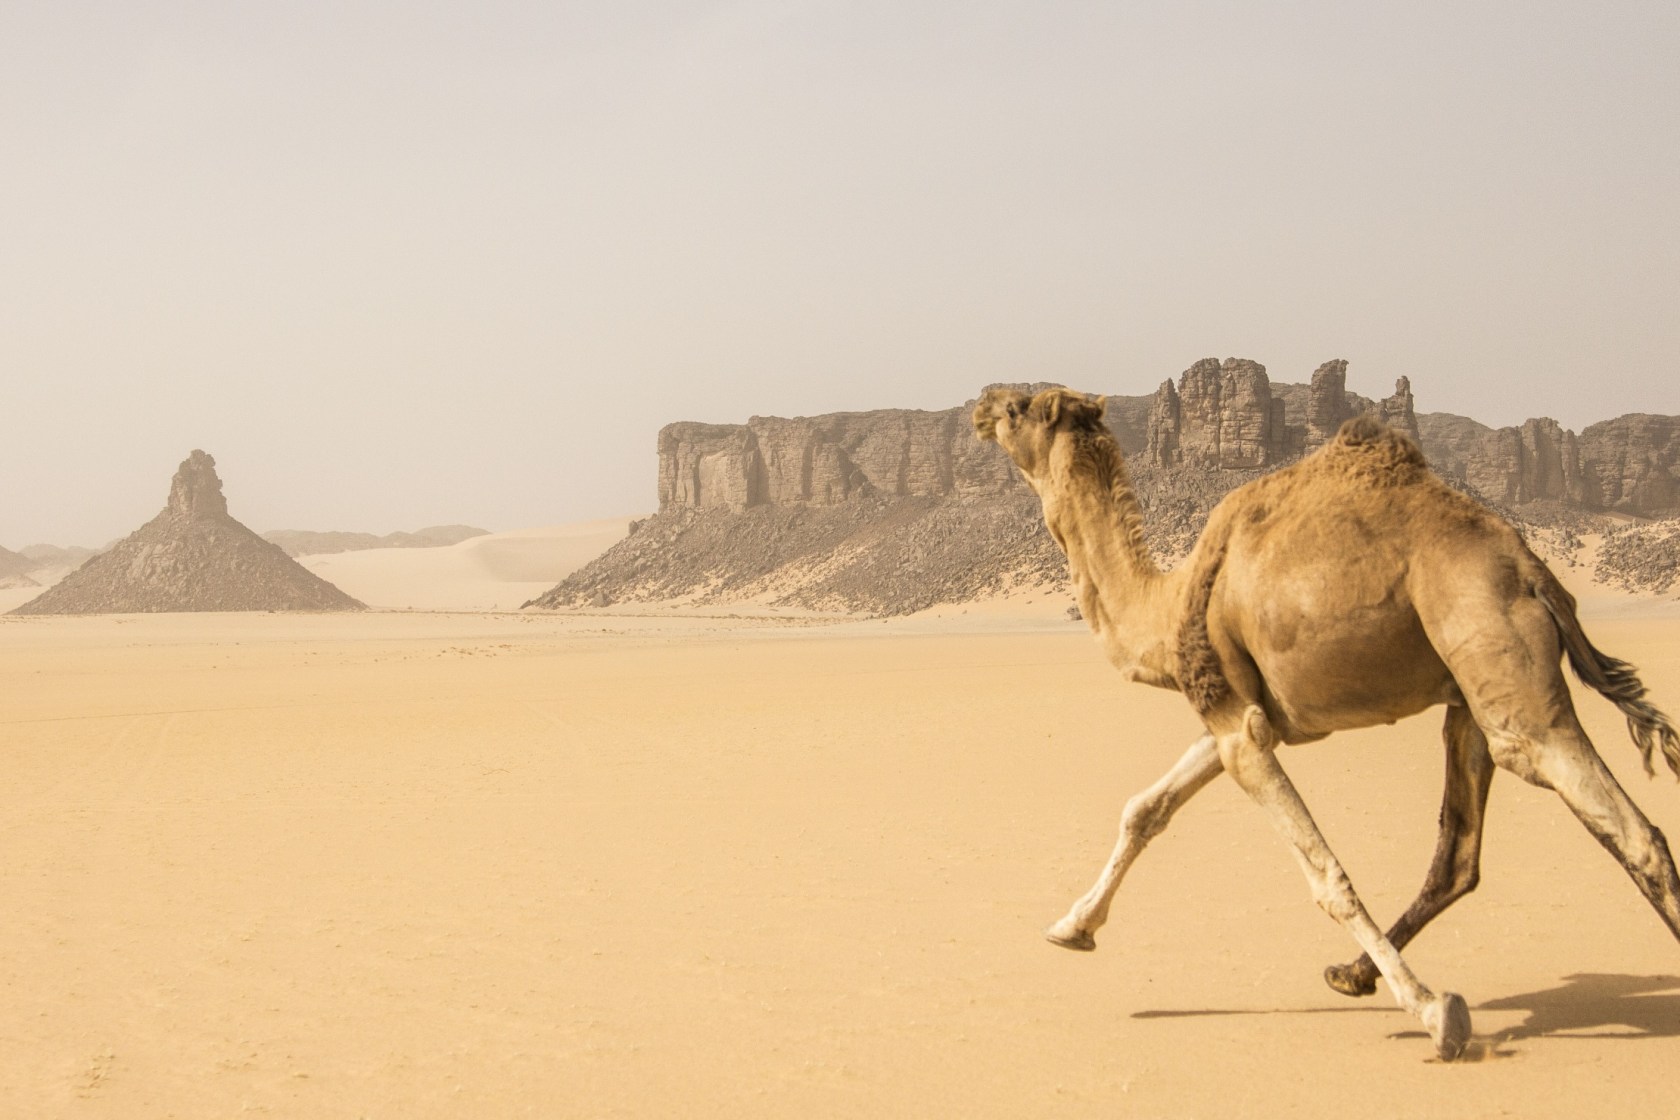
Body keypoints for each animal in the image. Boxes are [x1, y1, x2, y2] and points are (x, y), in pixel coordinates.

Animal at [972, 385, 1680, 1061]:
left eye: (1020, 407)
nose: (981, 404)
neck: (1167, 607)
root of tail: (1533, 570)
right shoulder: (1236, 715)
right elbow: (1146, 809)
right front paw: (1071, 928)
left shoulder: (1239, 729)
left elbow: (1325, 876)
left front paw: (1435, 1014)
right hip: (1470, 695)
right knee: (1460, 851)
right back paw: (1350, 973)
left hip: (1504, 672)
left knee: (1635, 833)